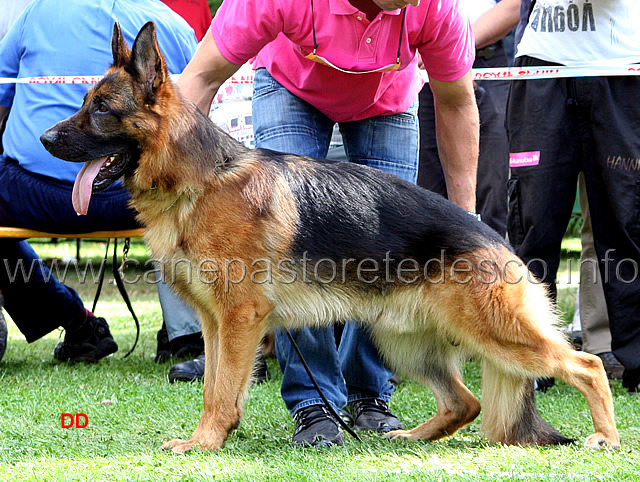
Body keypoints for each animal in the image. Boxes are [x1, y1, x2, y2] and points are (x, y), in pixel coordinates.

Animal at [41, 22, 620, 452]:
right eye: (87, 102)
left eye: (101, 109)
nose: (45, 138)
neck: (199, 180)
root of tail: (496, 241)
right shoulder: (215, 323)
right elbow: (213, 388)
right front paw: (212, 437)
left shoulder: (240, 318)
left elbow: (222, 391)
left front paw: (205, 444)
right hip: (403, 344)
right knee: (467, 403)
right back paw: (412, 437)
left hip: (495, 334)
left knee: (586, 365)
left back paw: (606, 438)